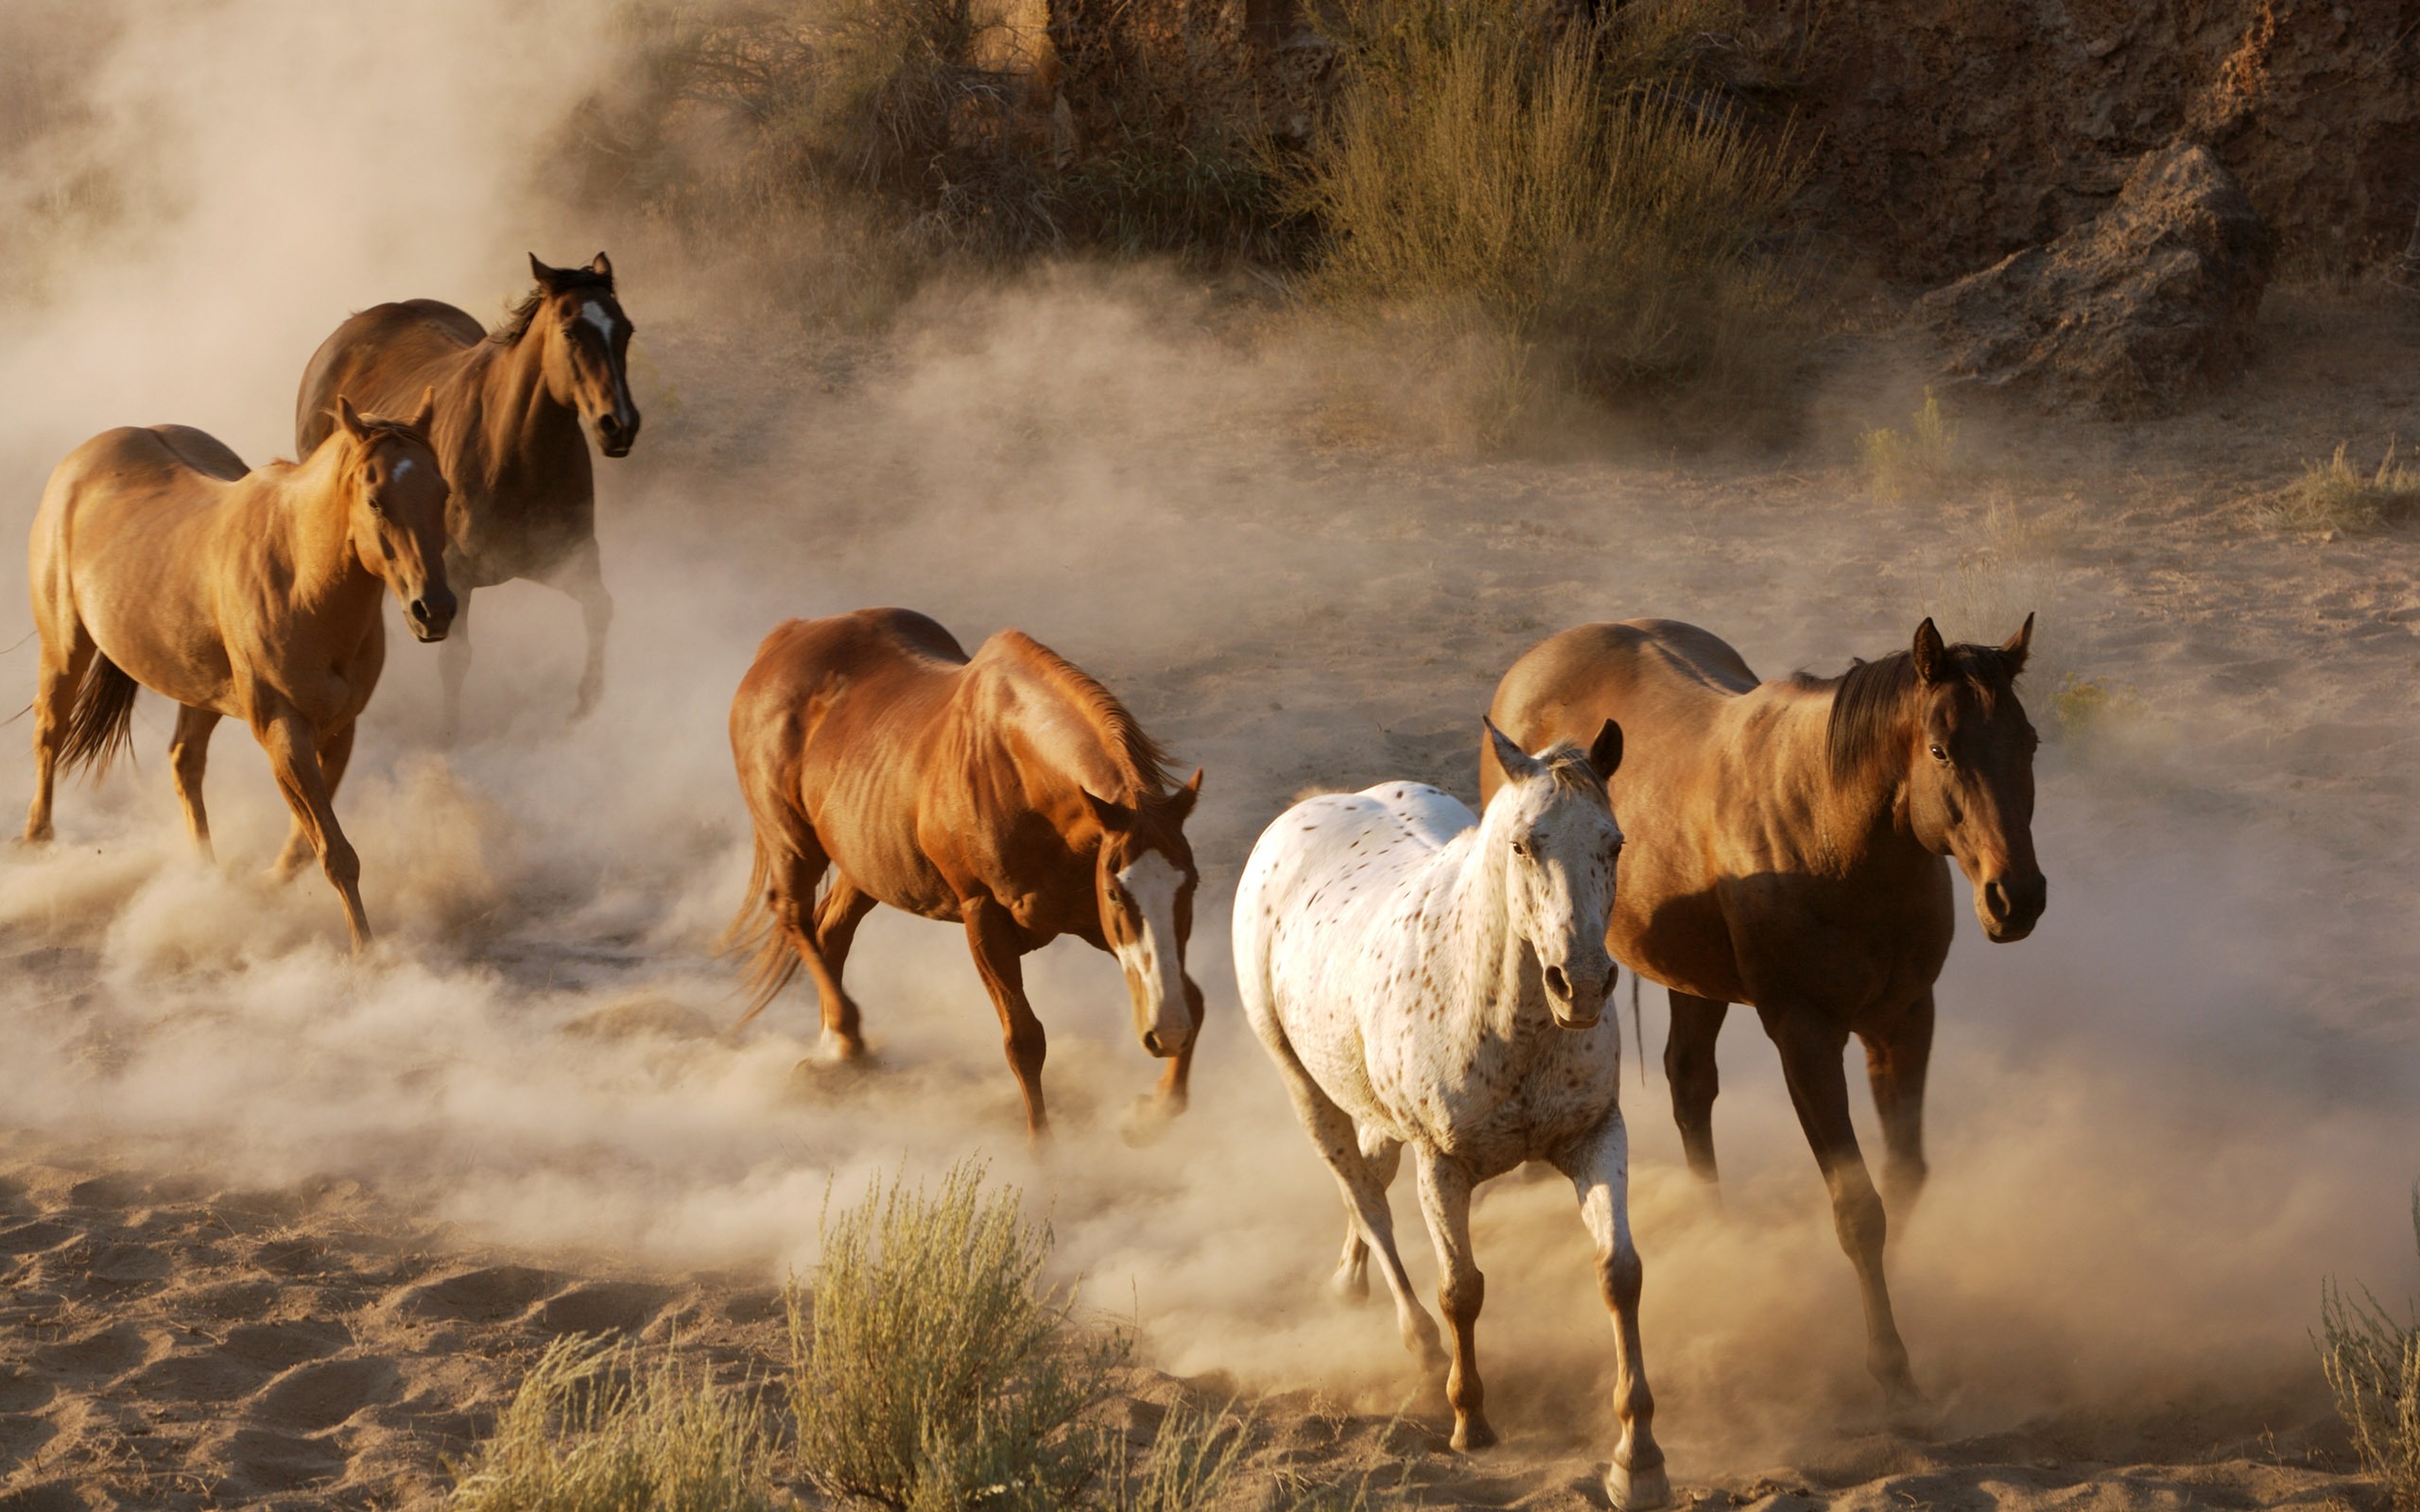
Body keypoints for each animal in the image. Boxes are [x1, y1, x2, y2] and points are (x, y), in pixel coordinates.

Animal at [25, 394, 457, 948]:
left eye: (442, 492)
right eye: (376, 500)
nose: (435, 610)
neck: (301, 581)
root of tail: (83, 459)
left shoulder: (339, 730)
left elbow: (309, 849)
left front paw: (266, 886)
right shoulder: (283, 731)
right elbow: (336, 854)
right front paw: (366, 953)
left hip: (199, 689)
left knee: (184, 762)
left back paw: (206, 877)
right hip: (64, 648)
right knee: (50, 733)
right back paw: (38, 844)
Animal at [294, 253, 643, 735]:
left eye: (625, 329)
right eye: (571, 332)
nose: (619, 425)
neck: (512, 453)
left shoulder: (570, 558)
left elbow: (599, 609)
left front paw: (587, 705)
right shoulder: (451, 577)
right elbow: (455, 660)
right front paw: (450, 734)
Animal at [716, 602, 1210, 1132]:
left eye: (1191, 887)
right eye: (1117, 892)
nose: (1166, 1032)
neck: (1019, 775)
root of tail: (786, 638)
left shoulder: (1090, 921)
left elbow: (1193, 999)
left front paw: (1153, 1113)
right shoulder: (985, 918)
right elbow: (1024, 1041)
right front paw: (1043, 1148)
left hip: (864, 864)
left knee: (831, 930)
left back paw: (836, 1052)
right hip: (792, 842)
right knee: (794, 916)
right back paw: (846, 1040)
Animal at [1229, 720, 1665, 1509]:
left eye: (1614, 844)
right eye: (1524, 844)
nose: (1582, 984)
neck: (1505, 1018)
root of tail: (1312, 807)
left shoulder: (1595, 1138)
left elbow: (1619, 1274)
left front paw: (1638, 1457)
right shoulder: (1444, 1164)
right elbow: (1461, 1289)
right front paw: (1471, 1421)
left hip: (1371, 1106)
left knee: (1369, 1178)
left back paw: (1349, 1281)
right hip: (1304, 1087)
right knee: (1364, 1197)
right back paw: (1420, 1346)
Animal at [1480, 610, 2051, 1402]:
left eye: (2028, 743)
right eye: (1941, 749)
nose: (2016, 898)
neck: (1836, 835)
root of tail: (1534, 665)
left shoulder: (1904, 1021)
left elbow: (1904, 1177)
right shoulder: (1805, 1038)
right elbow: (1857, 1207)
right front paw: (1889, 1362)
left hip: (1693, 980)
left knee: (1690, 1084)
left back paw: (1715, 1229)